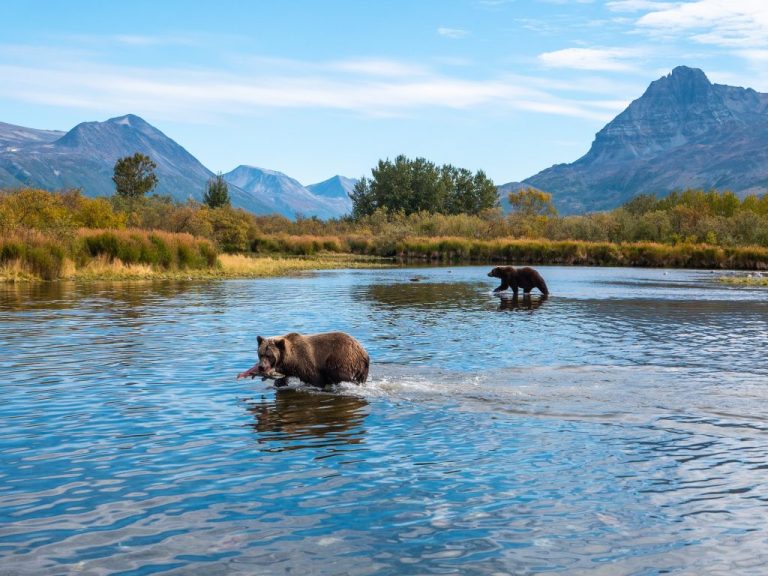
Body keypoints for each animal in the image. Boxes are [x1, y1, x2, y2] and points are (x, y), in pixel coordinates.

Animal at [237, 331, 369, 388]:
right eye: (261, 354)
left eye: (269, 355)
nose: (261, 367)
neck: (291, 360)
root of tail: (364, 352)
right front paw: (279, 382)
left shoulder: (307, 363)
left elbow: (316, 380)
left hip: (341, 359)